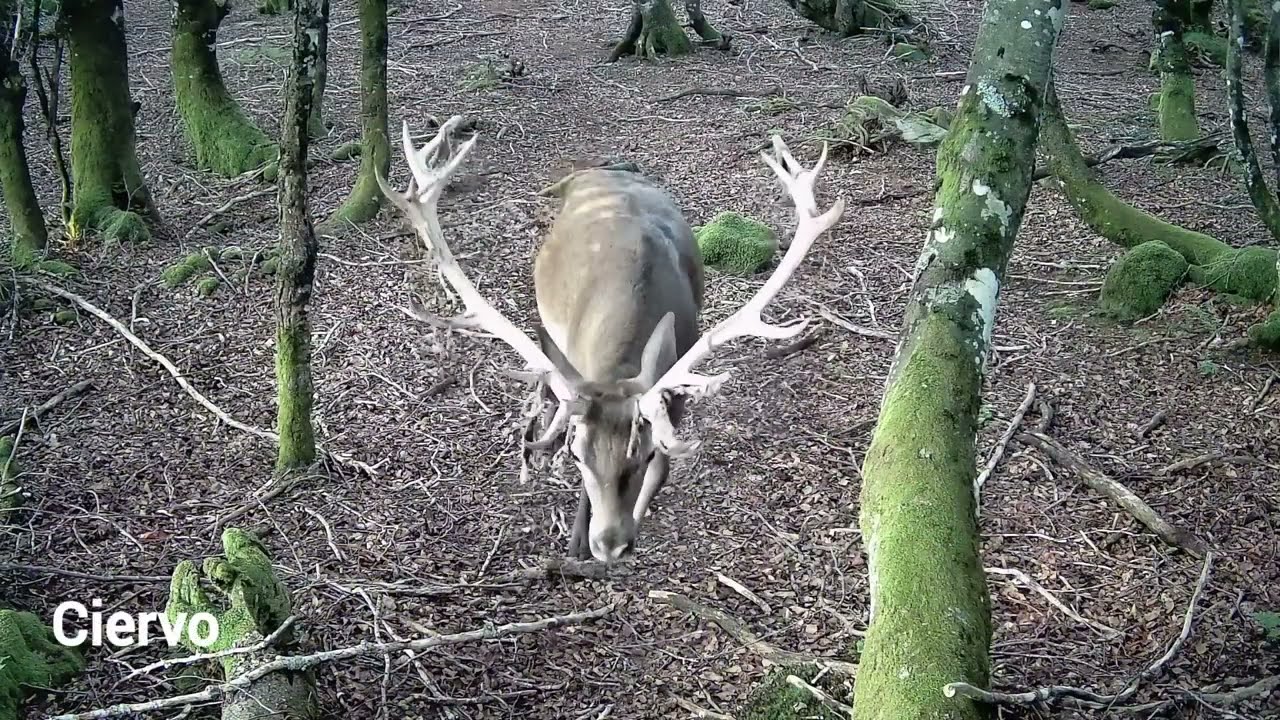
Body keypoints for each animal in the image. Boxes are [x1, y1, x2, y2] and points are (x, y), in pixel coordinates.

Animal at [377, 115, 845, 564]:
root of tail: (595, 172)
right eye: (579, 456)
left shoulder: (674, 397)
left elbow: (664, 469)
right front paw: (576, 543)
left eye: (641, 454)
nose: (610, 545)